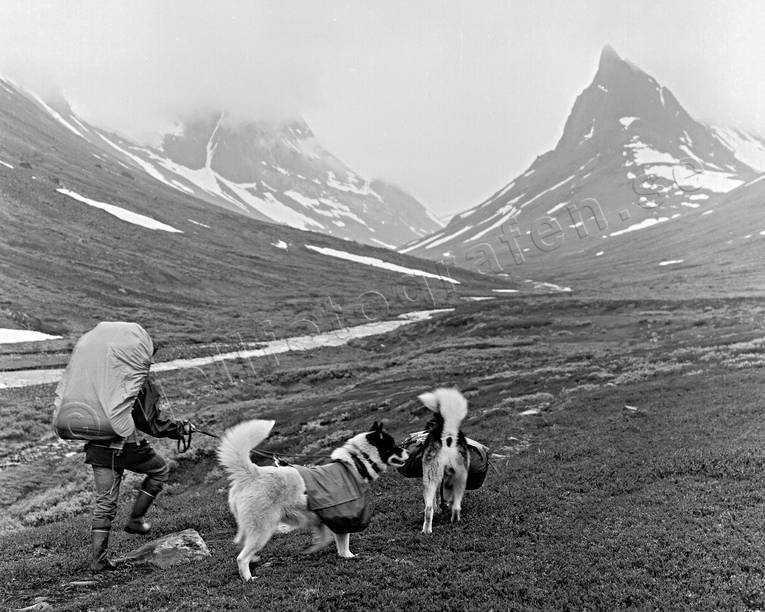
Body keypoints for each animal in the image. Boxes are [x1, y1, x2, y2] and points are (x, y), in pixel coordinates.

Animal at [216, 418, 406, 580]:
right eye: (393, 445)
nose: (406, 450)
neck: (357, 463)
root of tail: (252, 473)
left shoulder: (327, 520)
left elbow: (329, 539)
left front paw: (322, 550)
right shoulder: (344, 518)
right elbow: (344, 544)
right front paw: (350, 557)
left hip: (250, 526)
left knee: (243, 544)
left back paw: (254, 559)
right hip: (263, 528)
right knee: (241, 558)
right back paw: (248, 578)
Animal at [414, 390, 468, 532]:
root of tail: (447, 436)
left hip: (434, 476)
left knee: (429, 508)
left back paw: (427, 530)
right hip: (451, 475)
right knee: (451, 506)